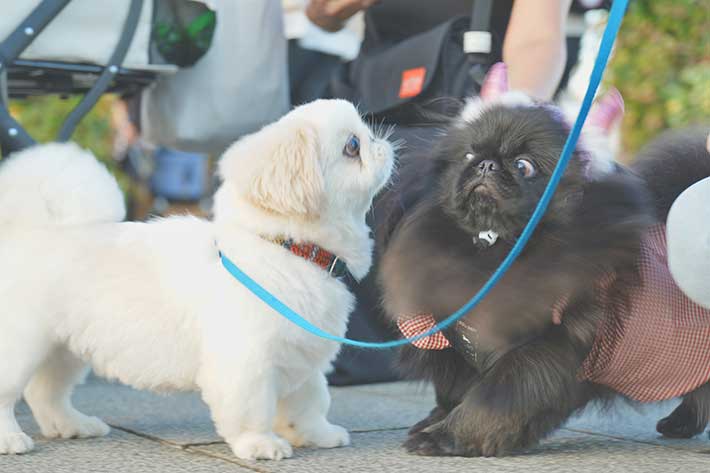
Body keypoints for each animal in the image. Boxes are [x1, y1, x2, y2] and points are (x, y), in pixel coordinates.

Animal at [0, 98, 394, 458]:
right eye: (352, 146)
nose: (381, 139)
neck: (291, 249)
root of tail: (30, 231)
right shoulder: (247, 362)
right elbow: (253, 409)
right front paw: (260, 445)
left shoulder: (303, 353)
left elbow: (311, 400)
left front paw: (318, 434)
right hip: (24, 345)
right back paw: (11, 440)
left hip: (63, 348)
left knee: (46, 393)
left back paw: (73, 425)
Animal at [382, 80, 710, 454]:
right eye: (467, 155)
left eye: (524, 166)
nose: (486, 165)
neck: (494, 250)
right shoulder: (460, 352)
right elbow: (453, 394)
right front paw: (433, 422)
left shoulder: (536, 357)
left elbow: (487, 404)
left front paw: (443, 438)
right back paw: (680, 424)